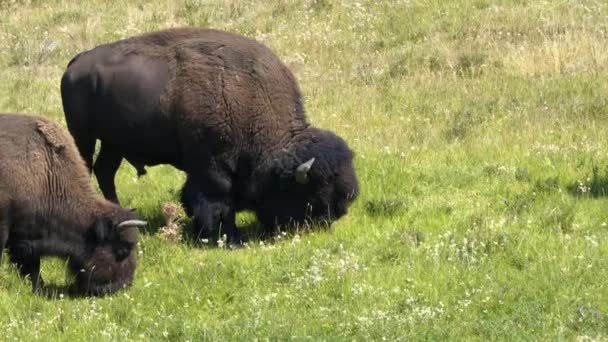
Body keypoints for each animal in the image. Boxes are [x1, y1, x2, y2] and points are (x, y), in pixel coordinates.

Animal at [0, 113, 147, 296]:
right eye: (122, 250)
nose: (124, 286)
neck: (47, 173)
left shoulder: (26, 235)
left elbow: (32, 266)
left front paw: (41, 289)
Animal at [60, 27, 358, 243]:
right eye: (313, 197)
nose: (320, 228)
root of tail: (76, 62)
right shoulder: (212, 166)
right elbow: (219, 199)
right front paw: (229, 237)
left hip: (114, 143)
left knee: (105, 172)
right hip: (83, 136)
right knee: (87, 168)